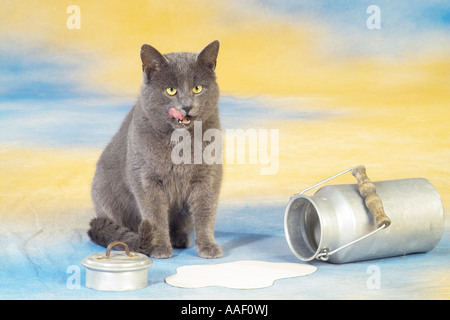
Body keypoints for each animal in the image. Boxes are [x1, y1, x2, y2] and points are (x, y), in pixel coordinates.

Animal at [87, 41, 222, 258]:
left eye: (197, 88)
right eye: (171, 90)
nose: (186, 106)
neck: (180, 144)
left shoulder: (208, 176)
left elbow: (205, 212)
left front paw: (208, 246)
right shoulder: (146, 179)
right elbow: (155, 215)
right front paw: (159, 247)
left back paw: (179, 237)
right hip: (104, 191)